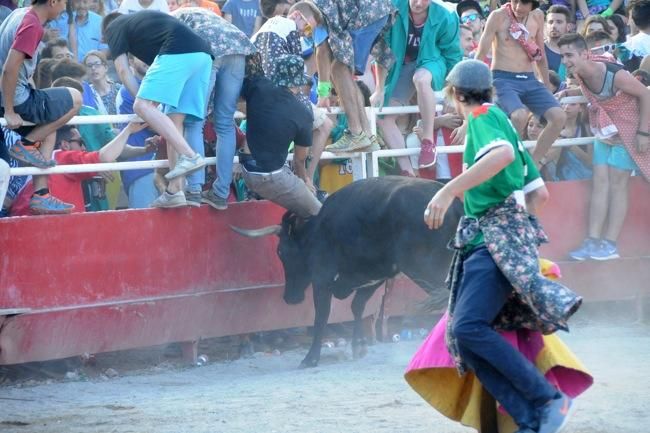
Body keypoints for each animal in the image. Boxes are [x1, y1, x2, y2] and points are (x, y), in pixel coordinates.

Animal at [232, 175, 460, 364]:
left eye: (280, 252)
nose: (290, 298)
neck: (315, 231)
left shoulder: (322, 280)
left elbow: (321, 316)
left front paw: (311, 358)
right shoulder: (374, 277)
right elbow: (357, 307)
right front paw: (358, 346)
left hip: (425, 268)